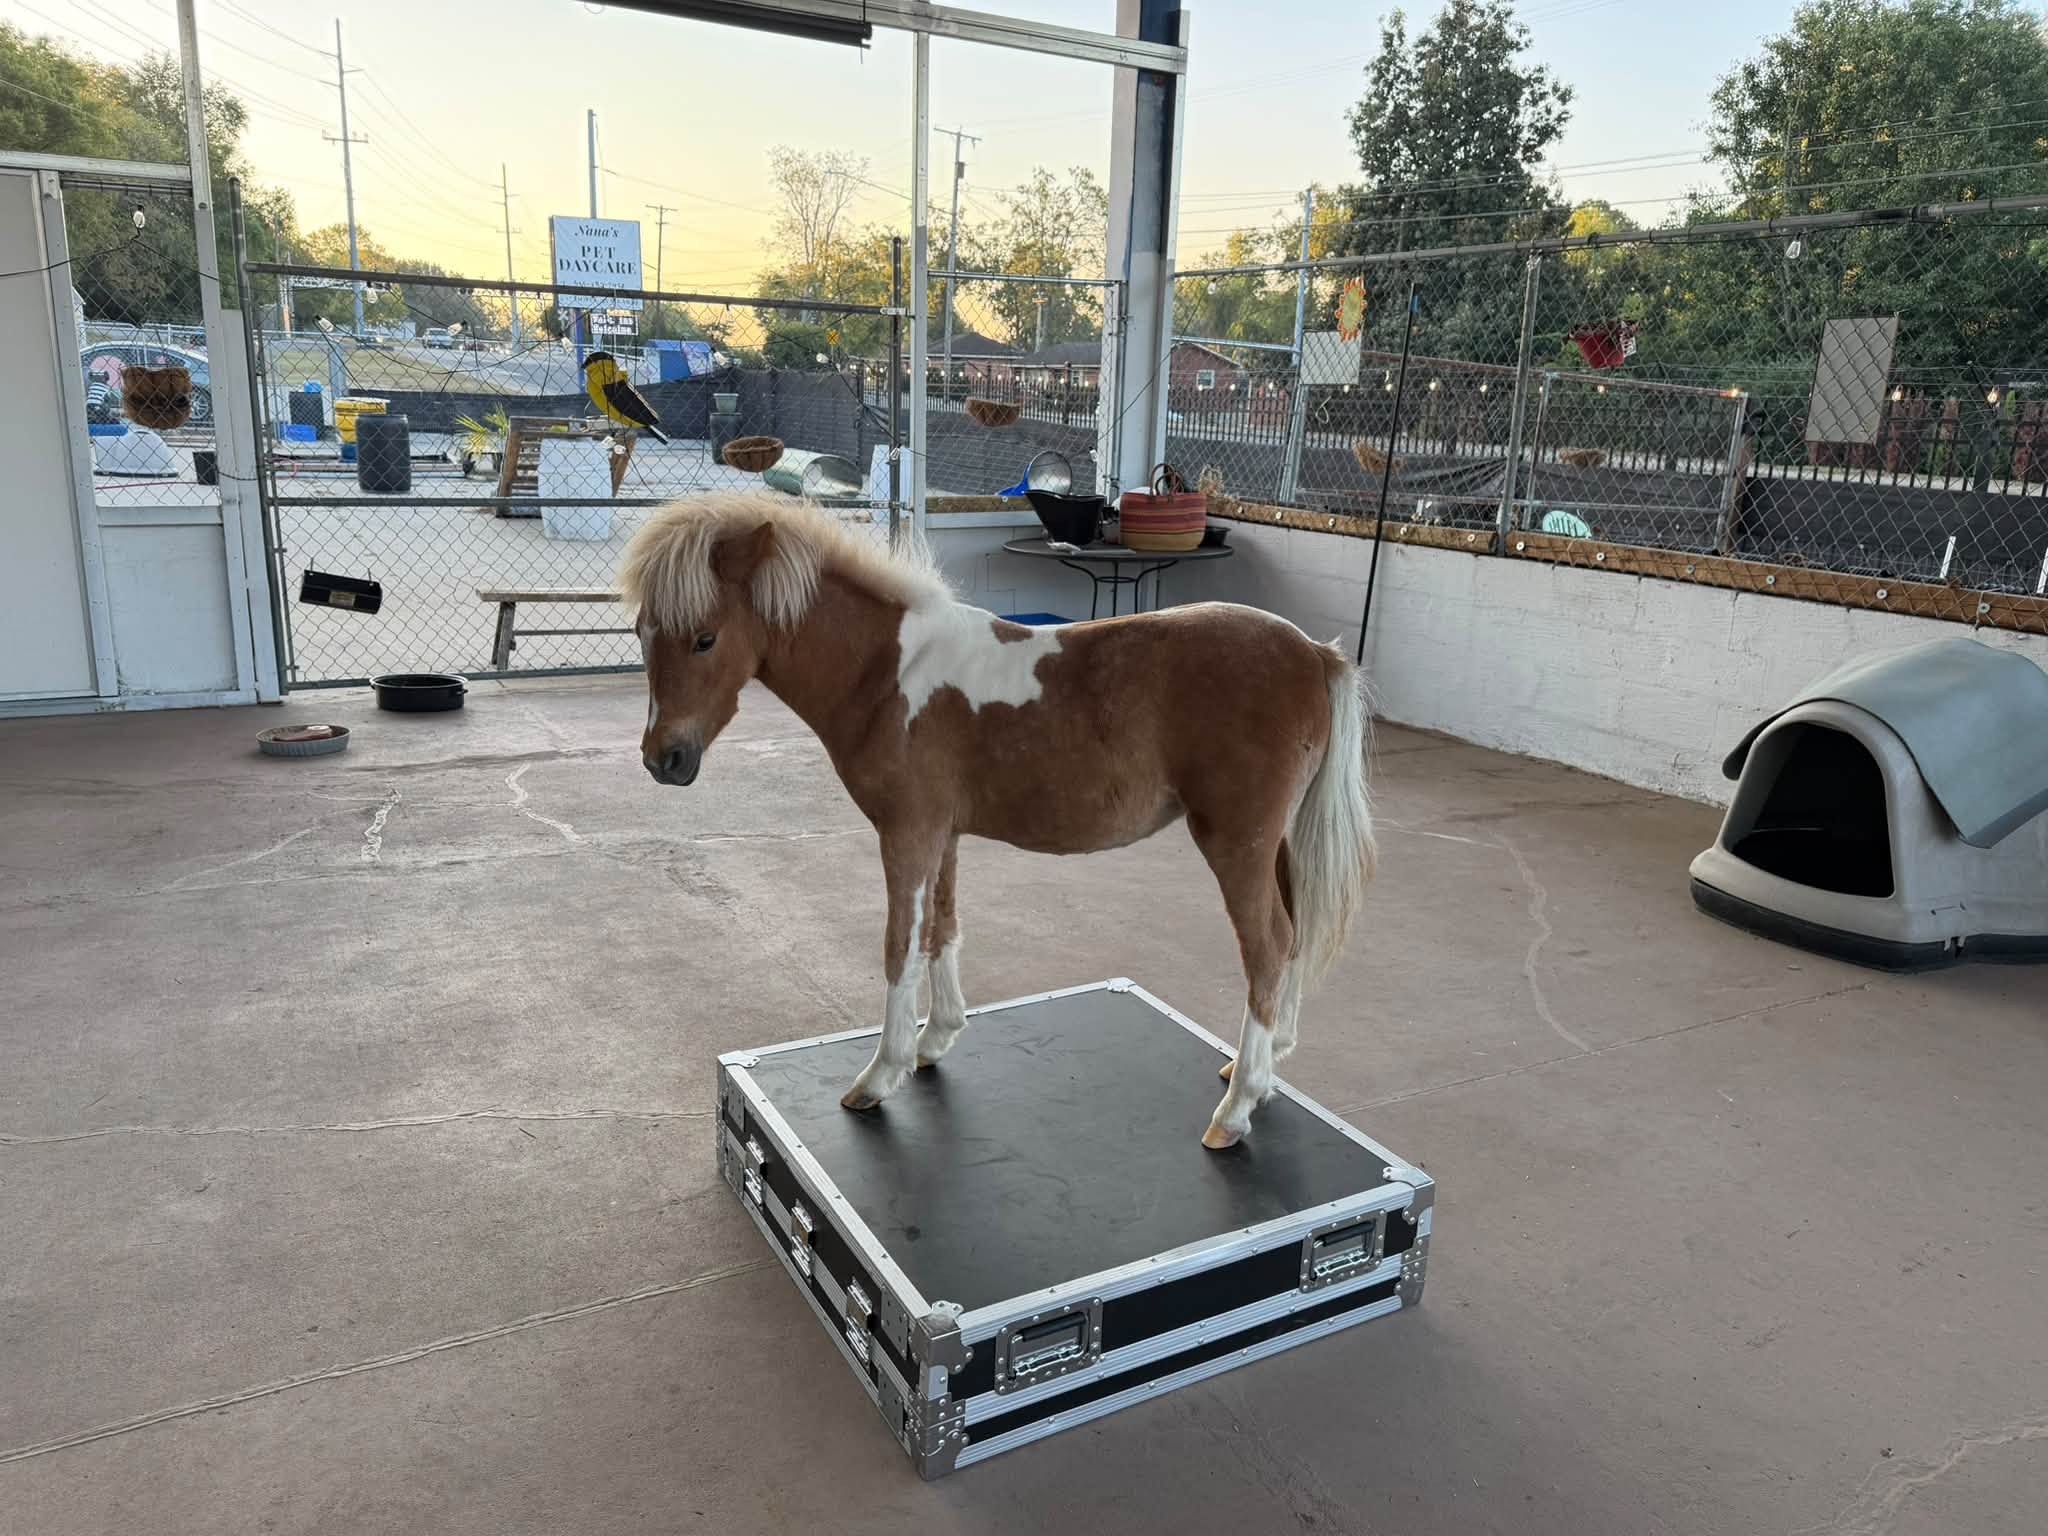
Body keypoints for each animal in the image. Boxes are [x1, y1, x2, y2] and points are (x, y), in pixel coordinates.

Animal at [620, 492, 1375, 1148]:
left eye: (705, 638)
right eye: (641, 631)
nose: (664, 759)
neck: (887, 673)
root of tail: (1314, 653)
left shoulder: (906, 834)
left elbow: (899, 947)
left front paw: (879, 1076)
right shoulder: (942, 834)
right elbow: (942, 930)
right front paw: (935, 1040)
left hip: (1236, 842)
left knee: (1268, 947)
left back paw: (1238, 1106)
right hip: (1276, 844)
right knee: (1293, 934)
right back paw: (1263, 1068)